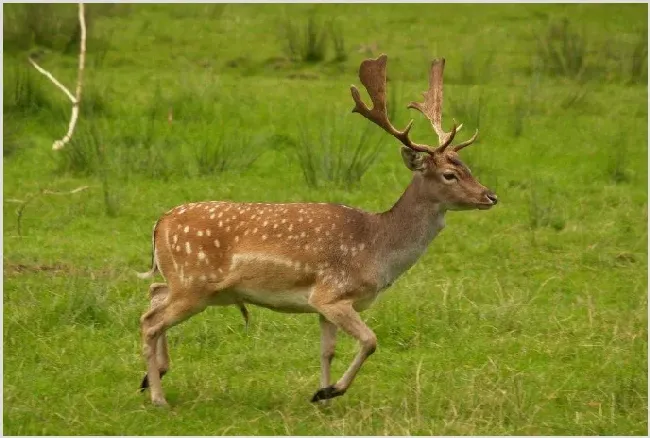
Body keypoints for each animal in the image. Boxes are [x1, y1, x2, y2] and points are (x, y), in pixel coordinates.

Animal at [138, 54, 496, 408]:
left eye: (468, 167)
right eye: (449, 174)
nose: (491, 195)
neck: (377, 250)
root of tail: (159, 223)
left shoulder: (324, 305)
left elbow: (327, 351)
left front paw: (322, 399)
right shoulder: (332, 293)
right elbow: (370, 341)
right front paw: (330, 391)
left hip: (190, 285)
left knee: (153, 296)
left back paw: (151, 377)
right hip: (193, 285)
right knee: (151, 322)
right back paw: (158, 397)